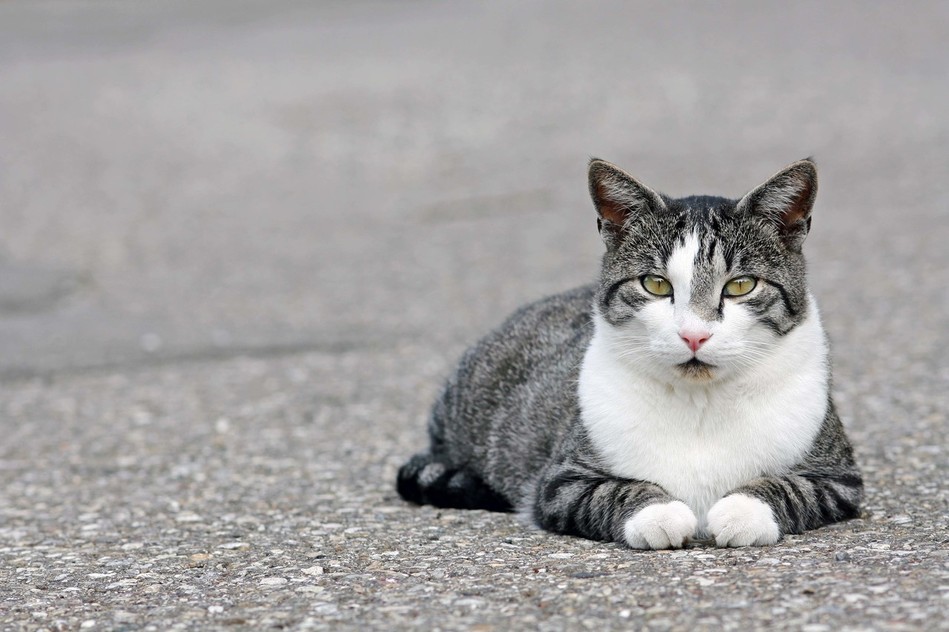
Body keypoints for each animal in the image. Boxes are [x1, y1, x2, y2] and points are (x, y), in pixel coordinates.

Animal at [396, 158, 864, 548]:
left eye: (740, 285)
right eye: (655, 284)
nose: (694, 336)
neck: (700, 402)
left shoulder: (840, 479)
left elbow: (791, 487)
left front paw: (741, 510)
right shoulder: (561, 482)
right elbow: (613, 490)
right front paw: (658, 513)